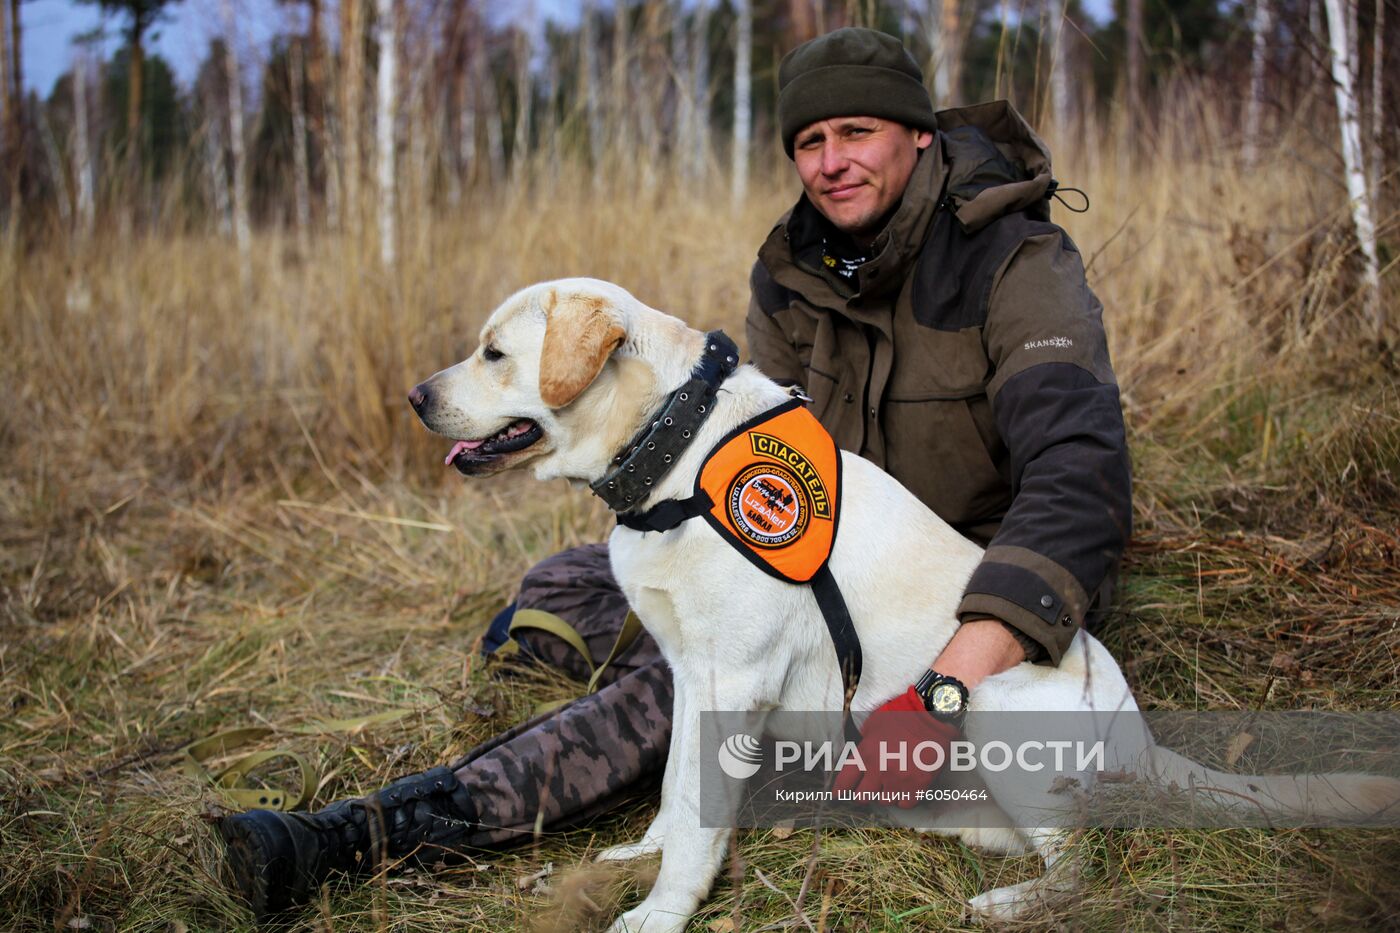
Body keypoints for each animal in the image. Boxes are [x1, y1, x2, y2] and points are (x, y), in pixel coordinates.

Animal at [408, 277, 1394, 930]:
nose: (416, 395)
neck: (674, 450)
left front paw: (661, 911)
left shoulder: (734, 678)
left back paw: (1015, 901)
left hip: (997, 709)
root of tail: (1138, 731)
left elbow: (699, 819)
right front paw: (642, 856)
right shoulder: (691, 675)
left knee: (1088, 859)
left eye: (494, 354)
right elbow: (674, 792)